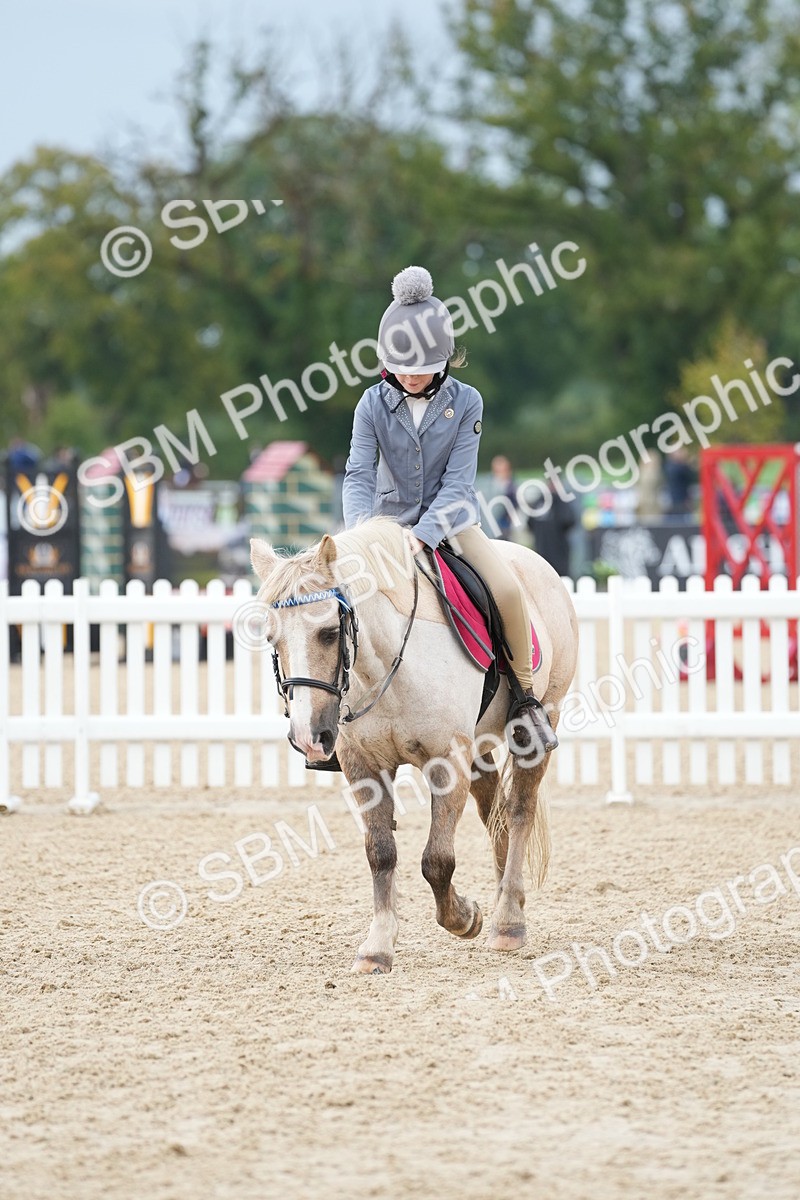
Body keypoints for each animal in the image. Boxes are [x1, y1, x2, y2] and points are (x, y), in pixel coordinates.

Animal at [251, 517, 578, 974]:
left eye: (329, 633)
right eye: (270, 638)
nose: (308, 737)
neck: (384, 667)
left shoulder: (446, 762)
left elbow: (436, 860)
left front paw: (465, 919)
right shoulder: (364, 767)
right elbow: (380, 852)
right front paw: (377, 948)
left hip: (540, 721)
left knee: (518, 812)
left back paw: (508, 921)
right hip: (477, 747)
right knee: (493, 811)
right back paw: (504, 901)